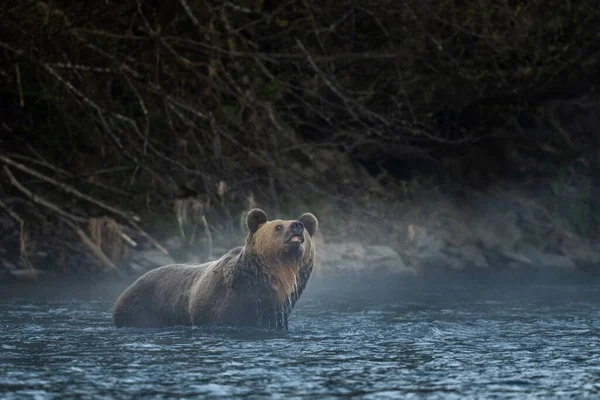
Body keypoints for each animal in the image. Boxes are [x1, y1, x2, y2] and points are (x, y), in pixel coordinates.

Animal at [113, 208, 318, 330]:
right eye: (278, 226)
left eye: (303, 227)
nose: (297, 225)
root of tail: (126, 289)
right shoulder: (220, 305)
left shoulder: (274, 313)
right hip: (143, 309)